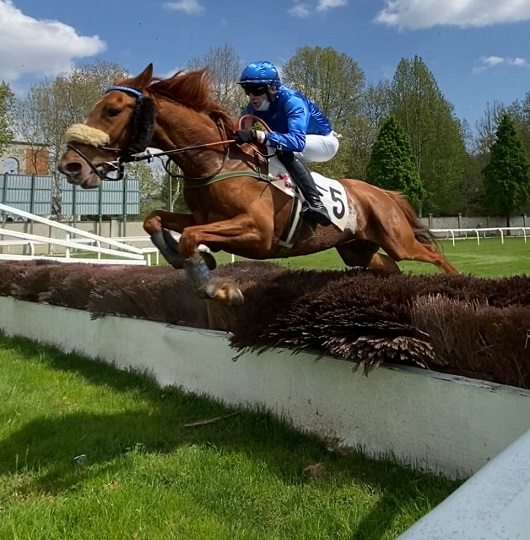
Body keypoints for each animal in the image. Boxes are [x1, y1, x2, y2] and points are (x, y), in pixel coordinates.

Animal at [56, 63, 454, 304]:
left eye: (112, 110)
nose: (70, 166)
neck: (214, 162)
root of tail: (381, 192)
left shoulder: (257, 233)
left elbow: (191, 238)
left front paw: (214, 285)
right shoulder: (204, 217)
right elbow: (158, 220)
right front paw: (183, 259)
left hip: (397, 238)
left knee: (432, 255)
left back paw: (457, 282)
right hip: (357, 249)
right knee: (390, 268)